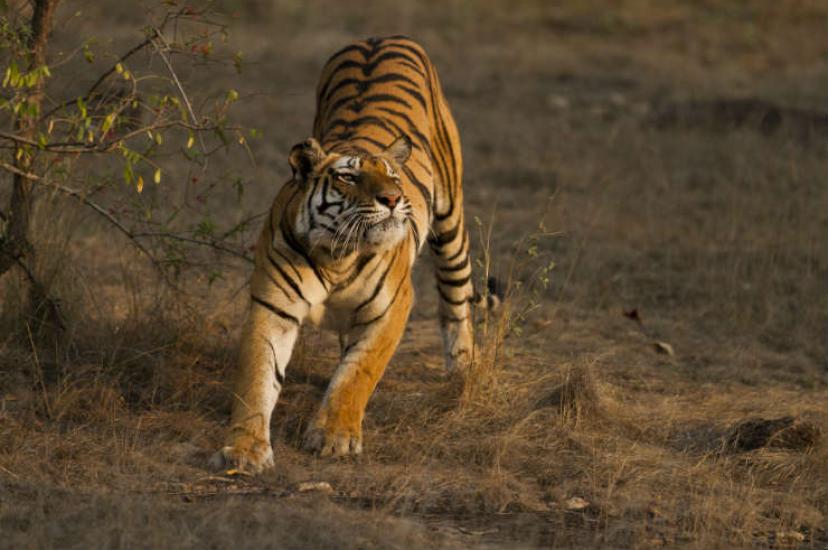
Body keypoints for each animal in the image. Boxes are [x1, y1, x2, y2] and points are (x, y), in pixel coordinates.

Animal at [213, 35, 490, 472]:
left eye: (393, 176)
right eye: (349, 176)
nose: (392, 199)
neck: (337, 255)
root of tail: (383, 37)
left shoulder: (393, 307)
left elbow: (358, 372)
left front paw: (334, 436)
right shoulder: (273, 306)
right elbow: (257, 377)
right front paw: (244, 450)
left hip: (451, 222)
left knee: (456, 298)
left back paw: (463, 370)